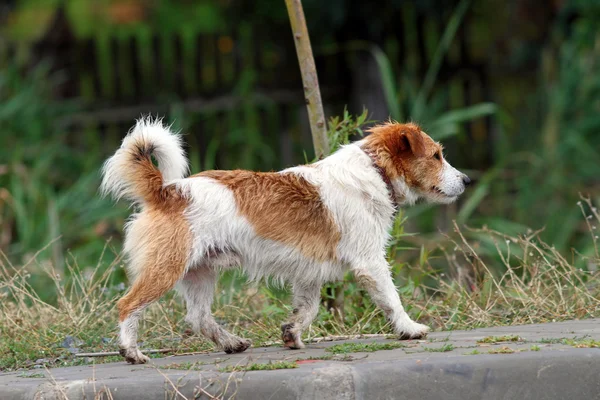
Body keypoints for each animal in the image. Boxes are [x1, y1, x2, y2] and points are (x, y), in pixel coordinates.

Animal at [101, 117, 472, 364]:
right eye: (437, 155)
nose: (468, 180)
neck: (374, 171)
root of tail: (167, 190)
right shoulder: (370, 263)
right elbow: (392, 299)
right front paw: (409, 328)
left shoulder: (309, 272)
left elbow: (307, 308)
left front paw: (291, 333)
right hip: (166, 269)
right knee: (127, 305)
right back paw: (131, 351)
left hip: (201, 272)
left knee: (198, 317)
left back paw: (231, 343)